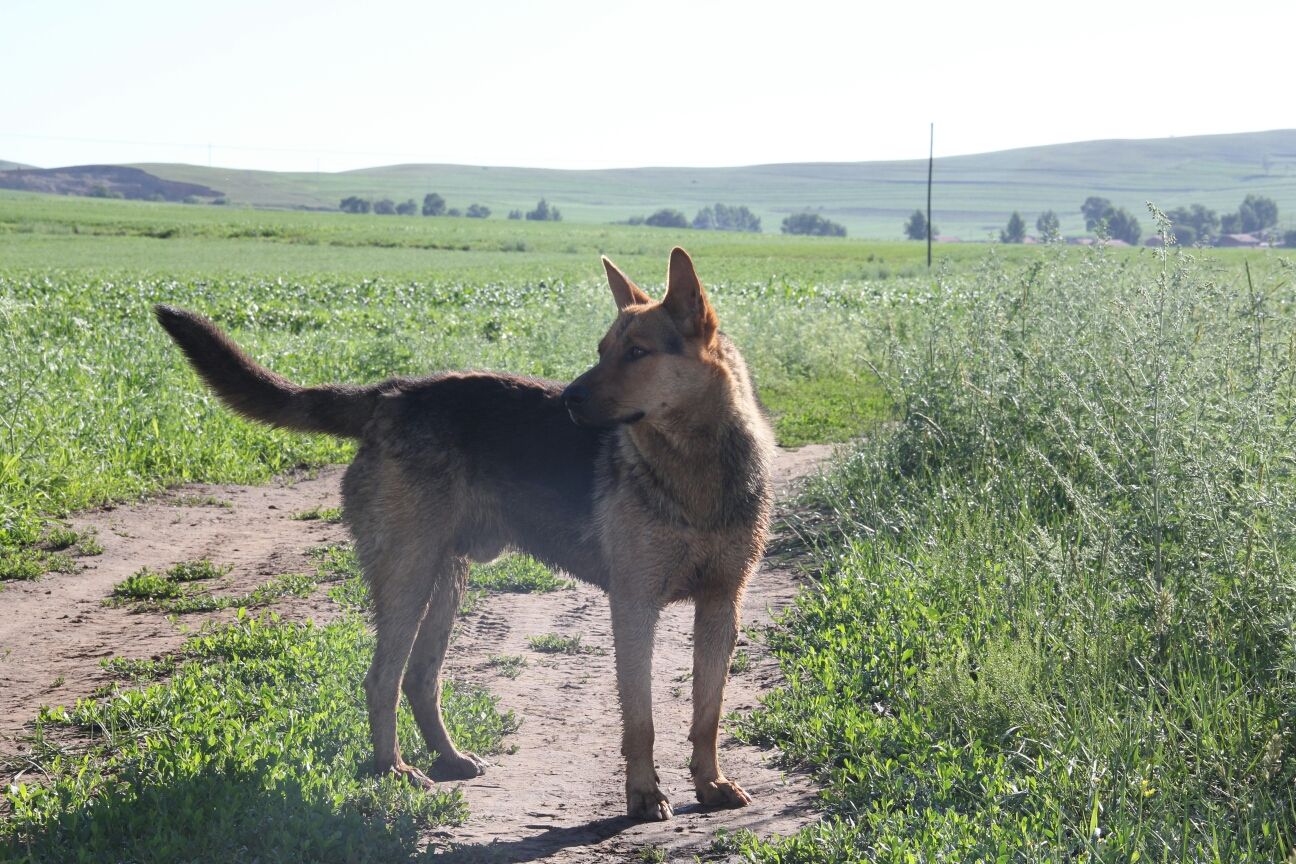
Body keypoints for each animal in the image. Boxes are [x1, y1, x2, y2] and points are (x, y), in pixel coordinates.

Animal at [156, 246, 772, 823]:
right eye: (601, 351)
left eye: (638, 353)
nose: (568, 400)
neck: (695, 465)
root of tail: (390, 394)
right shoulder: (635, 606)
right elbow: (640, 720)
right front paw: (644, 796)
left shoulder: (721, 606)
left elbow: (707, 714)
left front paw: (710, 785)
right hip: (409, 577)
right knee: (382, 679)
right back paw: (394, 769)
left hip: (445, 580)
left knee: (419, 679)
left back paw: (446, 759)